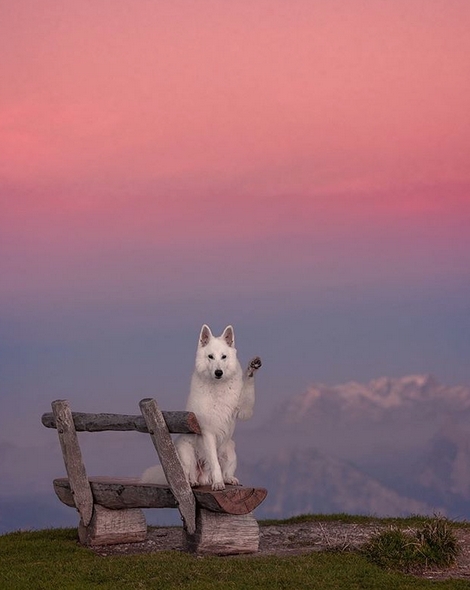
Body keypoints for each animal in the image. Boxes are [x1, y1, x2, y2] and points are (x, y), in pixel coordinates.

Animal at [141, 326, 262, 492]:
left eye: (223, 357)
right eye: (210, 357)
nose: (218, 373)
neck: (218, 388)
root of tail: (204, 477)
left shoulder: (244, 411)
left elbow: (248, 387)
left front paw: (251, 368)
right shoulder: (207, 432)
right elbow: (214, 463)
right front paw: (218, 483)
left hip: (230, 450)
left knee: (226, 471)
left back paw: (229, 479)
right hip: (186, 452)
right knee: (188, 475)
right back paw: (194, 482)